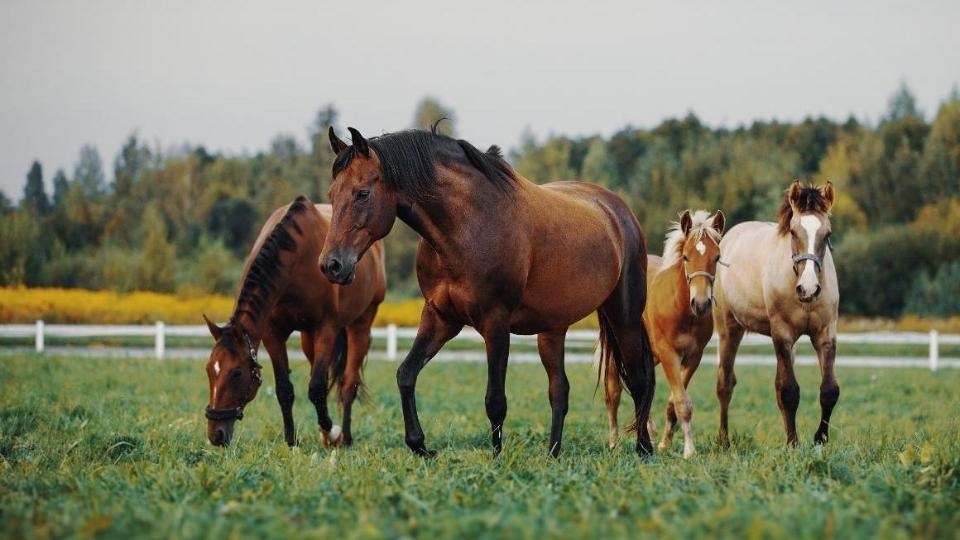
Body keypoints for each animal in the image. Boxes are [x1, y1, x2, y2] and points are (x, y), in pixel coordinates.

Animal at [203, 196, 386, 450]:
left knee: (349, 384)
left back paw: (345, 437)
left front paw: (332, 432)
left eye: (237, 373)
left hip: (361, 323)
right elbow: (285, 389)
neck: (297, 259)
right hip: (308, 338)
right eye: (209, 370)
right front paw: (292, 440)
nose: (215, 435)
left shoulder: (326, 330)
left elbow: (317, 388)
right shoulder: (273, 334)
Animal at [318, 126, 656, 460]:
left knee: (638, 381)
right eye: (332, 195)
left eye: (362, 193)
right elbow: (406, 374)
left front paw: (496, 458)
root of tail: (618, 211)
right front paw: (420, 445)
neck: (467, 226)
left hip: (623, 316)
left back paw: (644, 449)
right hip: (553, 329)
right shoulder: (440, 317)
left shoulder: (495, 323)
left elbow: (495, 399)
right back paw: (553, 455)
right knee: (559, 391)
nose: (331, 265)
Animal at [604, 209, 724, 458]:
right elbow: (682, 403)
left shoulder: (693, 357)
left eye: (717, 257)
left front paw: (665, 444)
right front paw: (689, 451)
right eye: (686, 256)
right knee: (613, 393)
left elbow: (672, 403)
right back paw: (614, 443)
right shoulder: (670, 355)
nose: (701, 304)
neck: (682, 311)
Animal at [712, 181, 840, 448]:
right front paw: (793, 444)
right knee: (725, 384)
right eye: (793, 232)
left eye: (827, 234)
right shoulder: (782, 334)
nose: (808, 289)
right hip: (729, 329)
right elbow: (788, 391)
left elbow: (829, 390)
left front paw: (819, 439)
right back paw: (724, 440)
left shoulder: (826, 334)